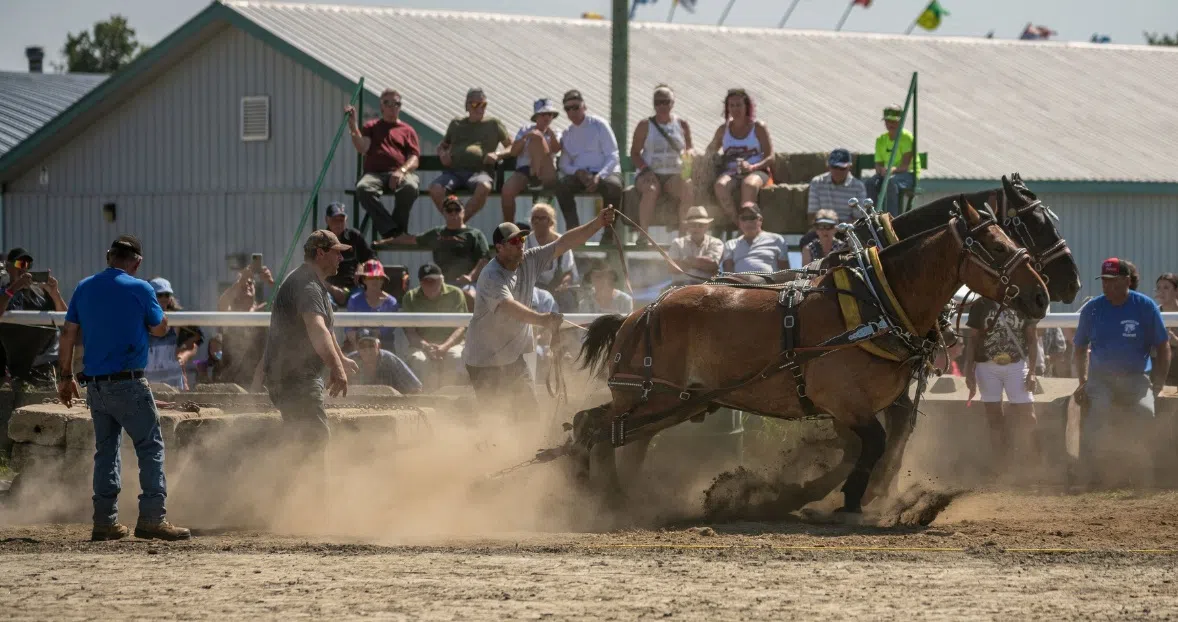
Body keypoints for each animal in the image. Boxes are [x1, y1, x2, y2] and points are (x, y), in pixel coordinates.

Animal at [572, 200, 1049, 516]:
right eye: (998, 247)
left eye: (1013, 236)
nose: (1042, 296)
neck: (874, 298)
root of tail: (637, 314)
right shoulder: (842, 400)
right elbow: (873, 444)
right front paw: (847, 498)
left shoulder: (860, 406)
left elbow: (877, 445)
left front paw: (847, 494)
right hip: (650, 396)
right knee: (597, 430)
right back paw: (600, 496)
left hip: (673, 403)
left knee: (610, 433)